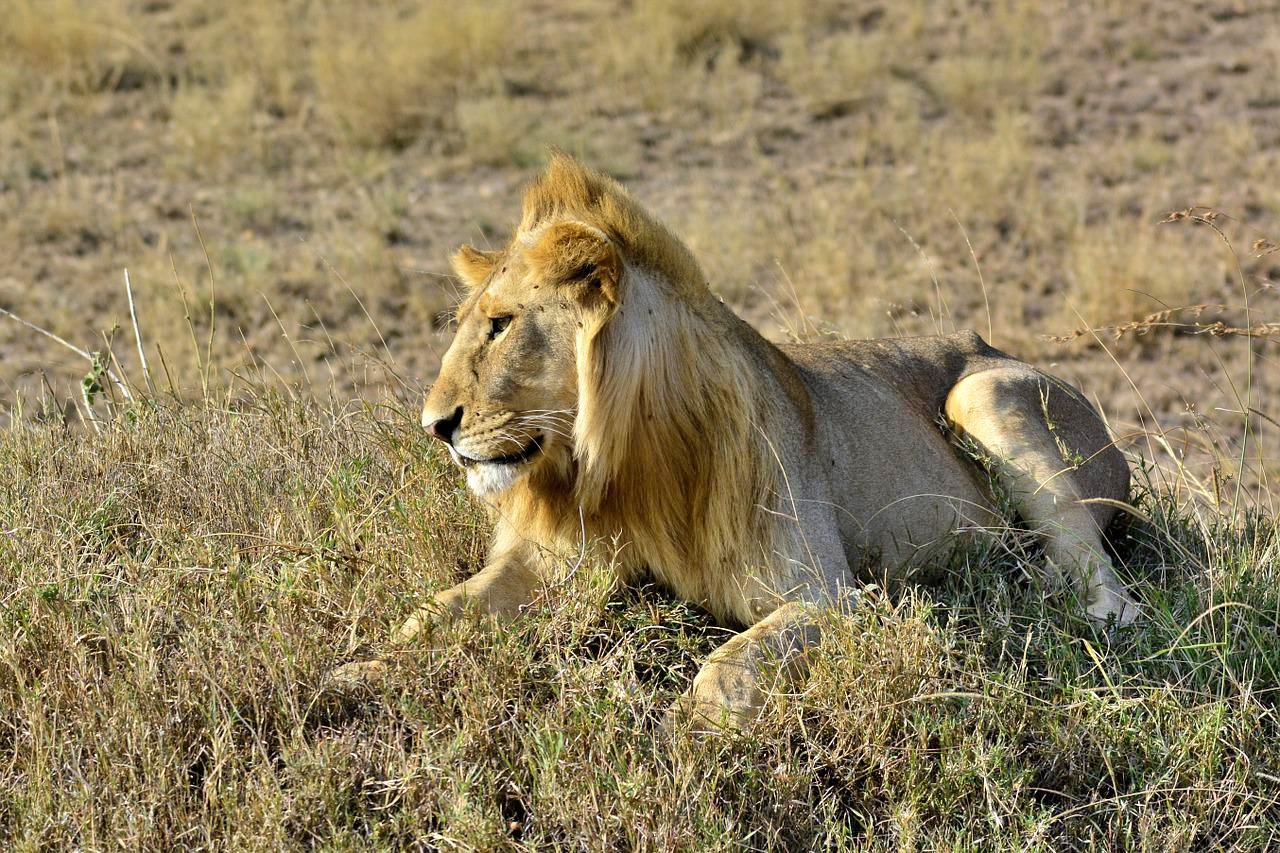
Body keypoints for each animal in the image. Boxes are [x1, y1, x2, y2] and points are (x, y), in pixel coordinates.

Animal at [337, 156, 1131, 727]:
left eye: (501, 325)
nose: (434, 426)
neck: (626, 459)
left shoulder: (830, 596)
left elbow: (727, 666)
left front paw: (682, 736)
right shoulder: (557, 561)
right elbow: (438, 611)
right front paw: (359, 672)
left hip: (984, 392)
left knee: (1100, 575)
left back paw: (1061, 601)